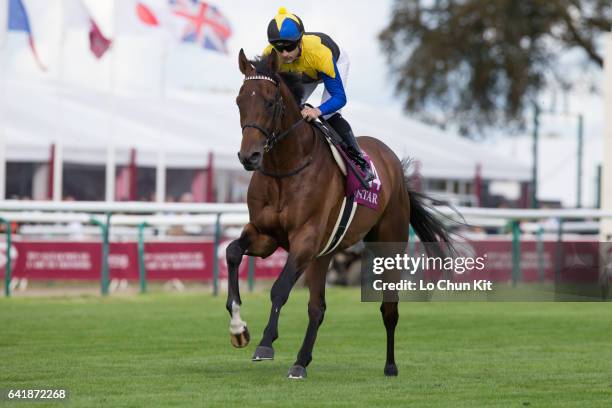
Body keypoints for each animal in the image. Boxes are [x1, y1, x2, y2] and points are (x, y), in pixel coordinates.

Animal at [226, 48, 454, 380]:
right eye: (240, 101)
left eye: (269, 102)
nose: (249, 156)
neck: (286, 169)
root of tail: (394, 164)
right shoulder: (265, 236)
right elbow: (232, 252)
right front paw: (238, 328)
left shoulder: (305, 241)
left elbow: (279, 289)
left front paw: (266, 343)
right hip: (324, 254)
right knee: (317, 308)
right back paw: (301, 361)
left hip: (389, 245)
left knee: (389, 308)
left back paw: (390, 366)